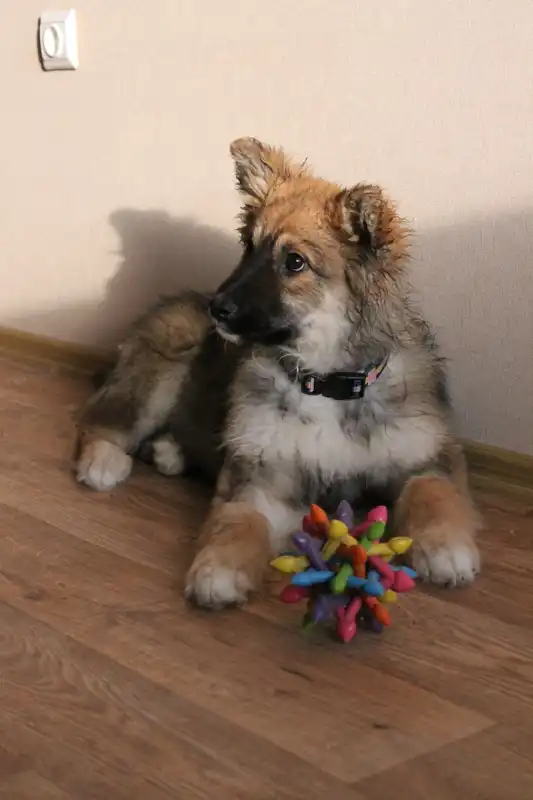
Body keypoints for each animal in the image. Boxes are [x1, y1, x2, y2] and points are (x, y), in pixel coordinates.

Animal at [76, 137, 480, 608]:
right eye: (248, 246)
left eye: (295, 262)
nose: (218, 309)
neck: (327, 384)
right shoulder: (264, 474)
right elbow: (238, 520)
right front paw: (218, 570)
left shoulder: (424, 454)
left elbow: (434, 492)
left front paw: (448, 551)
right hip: (161, 366)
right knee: (103, 420)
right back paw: (104, 461)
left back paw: (170, 453)